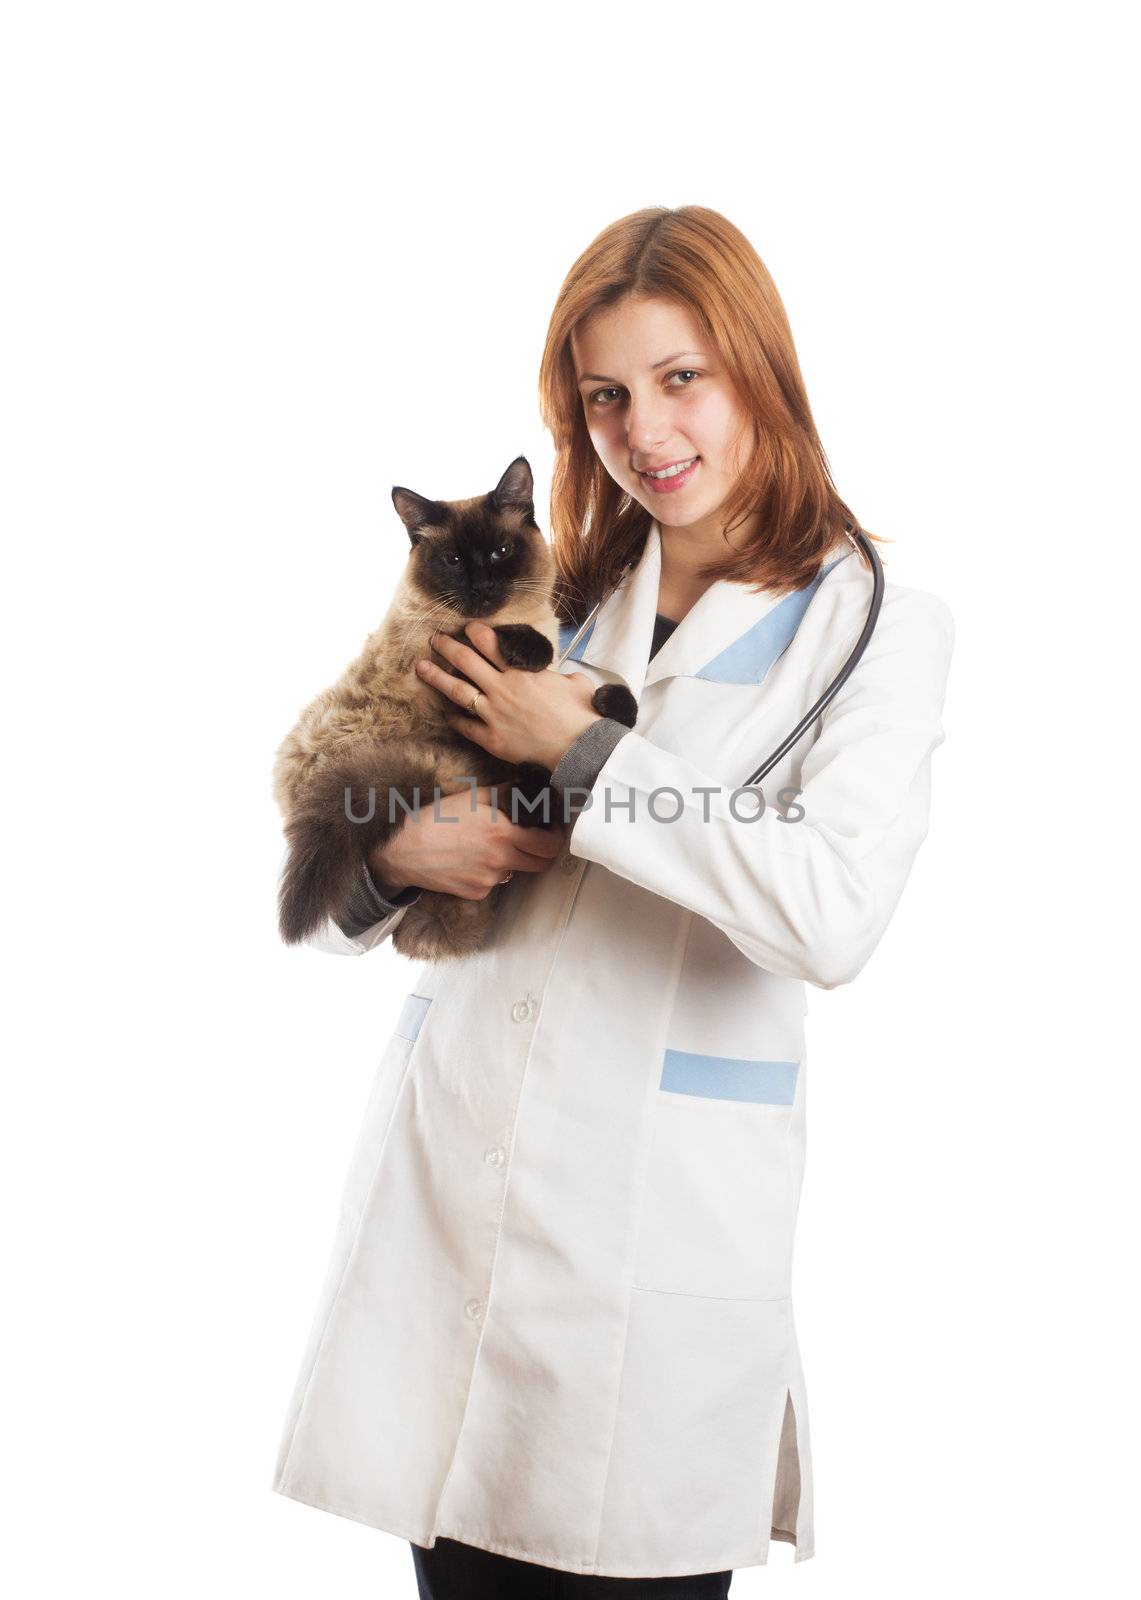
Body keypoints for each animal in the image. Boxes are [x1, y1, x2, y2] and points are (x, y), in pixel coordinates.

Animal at [272, 454, 636, 960]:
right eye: (454, 560)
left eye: (500, 551)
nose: (482, 586)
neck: (510, 618)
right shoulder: (445, 658)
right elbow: (483, 639)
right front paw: (532, 649)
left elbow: (597, 699)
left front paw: (606, 697)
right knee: (528, 806)